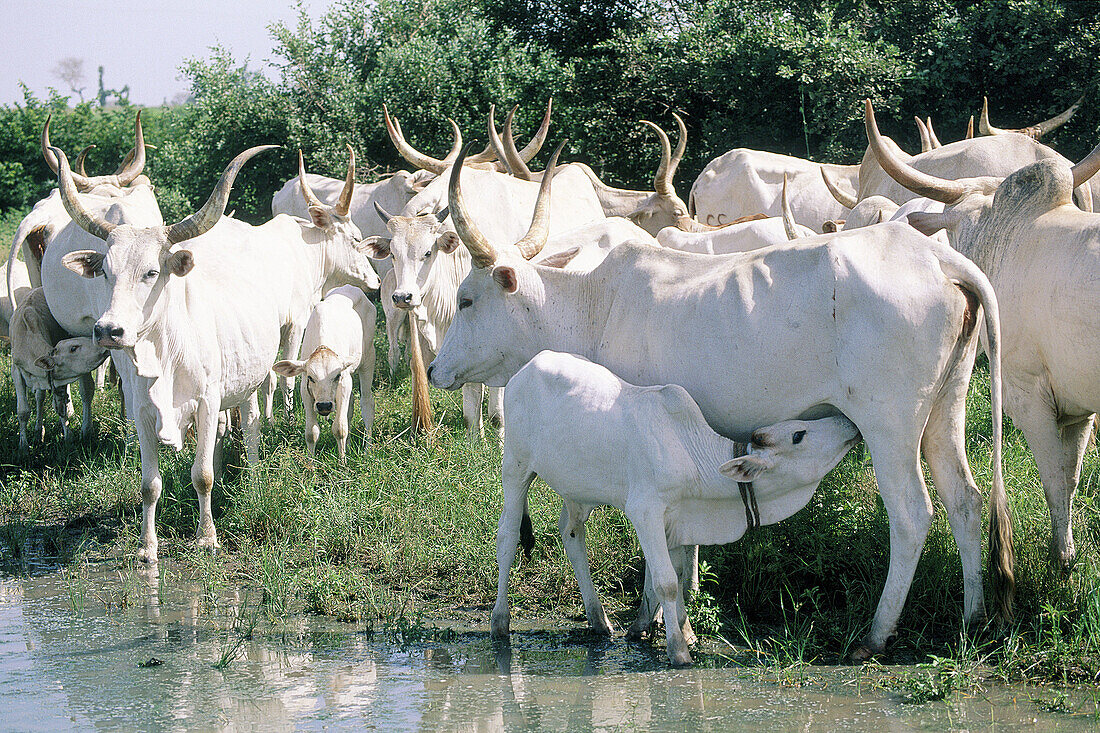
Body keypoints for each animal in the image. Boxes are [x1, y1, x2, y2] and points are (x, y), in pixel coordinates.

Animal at [272, 281, 376, 460]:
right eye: (311, 378)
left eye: (337, 375)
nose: (324, 405)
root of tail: (350, 287)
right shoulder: (305, 390)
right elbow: (311, 433)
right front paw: (311, 463)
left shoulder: (344, 382)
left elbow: (339, 428)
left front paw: (342, 462)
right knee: (350, 408)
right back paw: (349, 446)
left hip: (368, 360)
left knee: (366, 404)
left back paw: (367, 450)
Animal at [495, 347, 862, 660]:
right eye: (799, 435)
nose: (849, 423)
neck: (693, 457)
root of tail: (526, 368)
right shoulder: (645, 512)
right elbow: (667, 582)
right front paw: (678, 650)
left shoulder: (677, 518)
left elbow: (680, 571)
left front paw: (685, 632)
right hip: (515, 465)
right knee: (507, 538)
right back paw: (500, 622)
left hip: (576, 488)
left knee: (572, 535)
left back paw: (599, 620)